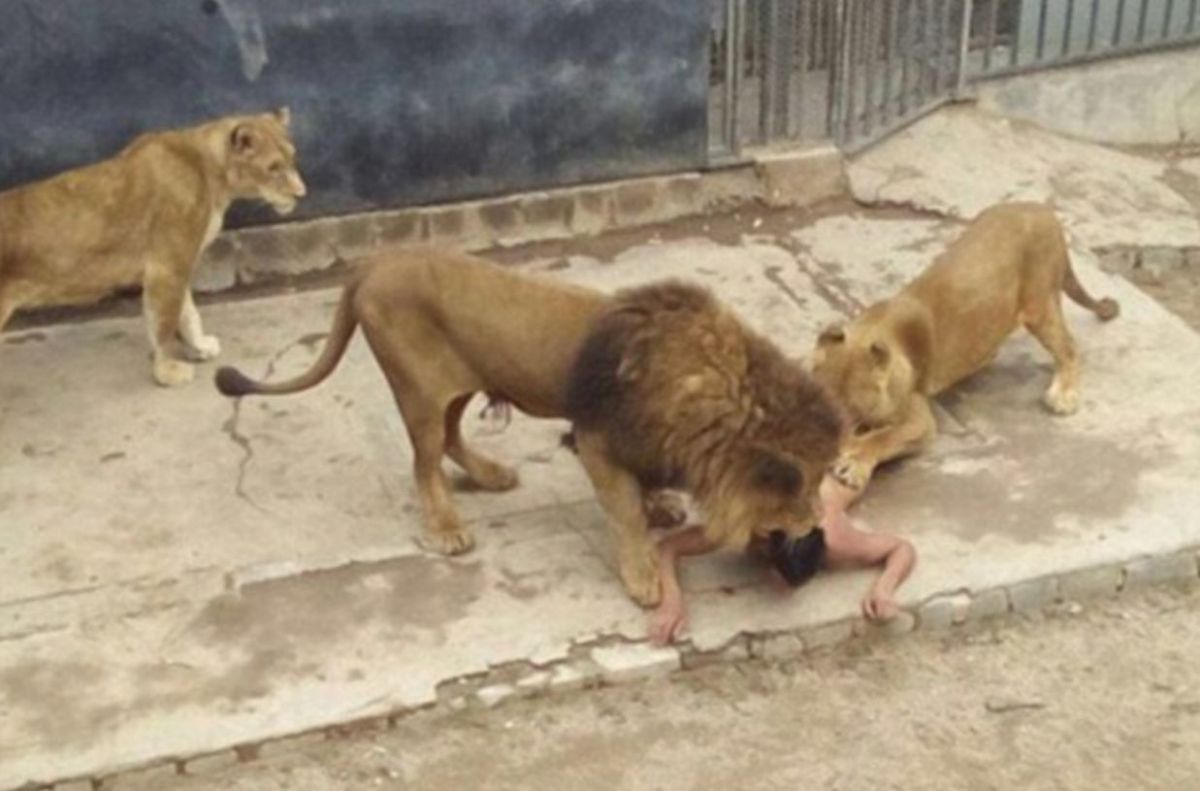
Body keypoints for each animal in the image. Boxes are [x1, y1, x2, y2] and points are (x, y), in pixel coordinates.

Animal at [0, 109, 306, 386]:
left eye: (292, 159)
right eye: (273, 168)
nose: (302, 194)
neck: (211, 171)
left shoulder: (179, 260)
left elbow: (187, 313)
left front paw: (200, 347)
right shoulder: (167, 265)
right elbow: (165, 323)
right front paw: (168, 371)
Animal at [214, 247, 685, 557]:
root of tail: (377, 263)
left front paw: (659, 504)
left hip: (458, 384)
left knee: (450, 437)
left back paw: (491, 475)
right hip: (418, 389)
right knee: (425, 463)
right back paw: (446, 528)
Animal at [566, 281, 846, 605]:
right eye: (807, 486)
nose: (819, 519)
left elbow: (643, 488)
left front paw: (660, 507)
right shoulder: (596, 438)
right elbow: (627, 512)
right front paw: (643, 578)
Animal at [810, 201, 1119, 494]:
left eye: (853, 408)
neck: (869, 331)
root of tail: (1044, 210)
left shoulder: (919, 420)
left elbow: (882, 437)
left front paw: (854, 464)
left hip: (1039, 305)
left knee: (1069, 348)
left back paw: (1063, 394)